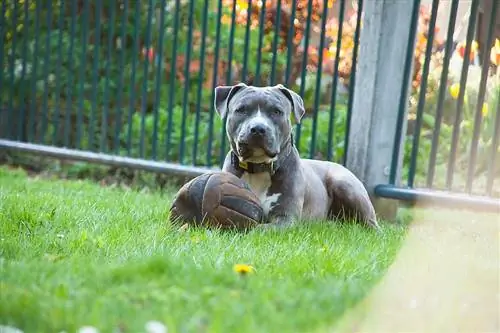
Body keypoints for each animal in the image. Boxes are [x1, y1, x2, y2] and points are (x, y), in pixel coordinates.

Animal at [213, 81, 380, 230]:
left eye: (276, 111)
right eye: (241, 110)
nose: (258, 128)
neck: (258, 167)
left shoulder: (286, 218)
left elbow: (260, 228)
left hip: (345, 185)